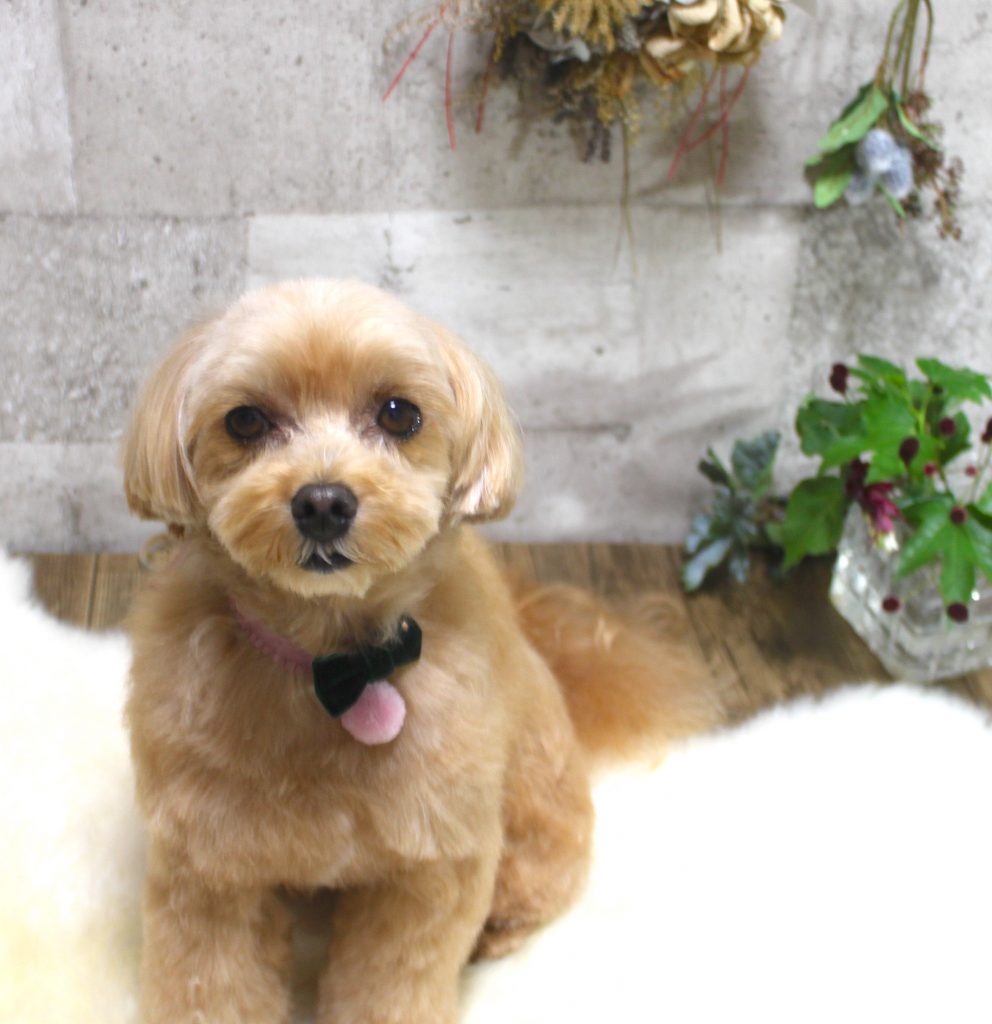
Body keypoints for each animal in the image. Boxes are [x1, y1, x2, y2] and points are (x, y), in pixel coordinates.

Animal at [122, 278, 723, 1024]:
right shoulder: (209, 870)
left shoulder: (430, 869)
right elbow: (211, 984)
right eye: (246, 421)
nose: (323, 502)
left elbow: (392, 985)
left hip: (531, 830)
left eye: (398, 414)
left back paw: (495, 937)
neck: (332, 663)